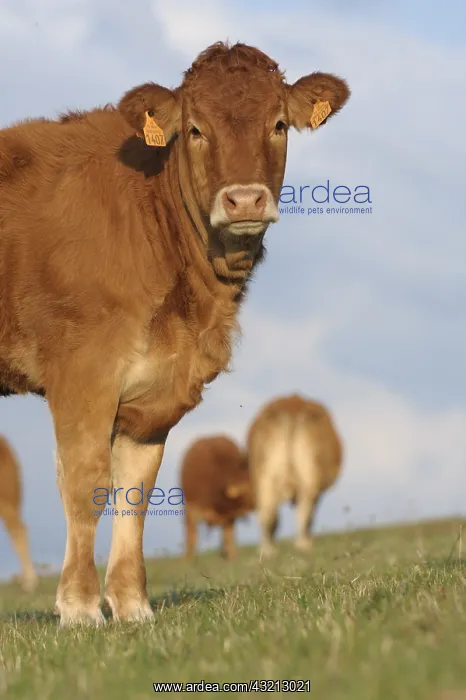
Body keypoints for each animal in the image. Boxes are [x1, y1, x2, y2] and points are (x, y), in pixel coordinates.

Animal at [247, 394, 343, 556]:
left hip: (264, 475)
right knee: (304, 511)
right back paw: (303, 544)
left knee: (267, 513)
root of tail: (291, 407)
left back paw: (268, 550)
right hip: (308, 476)